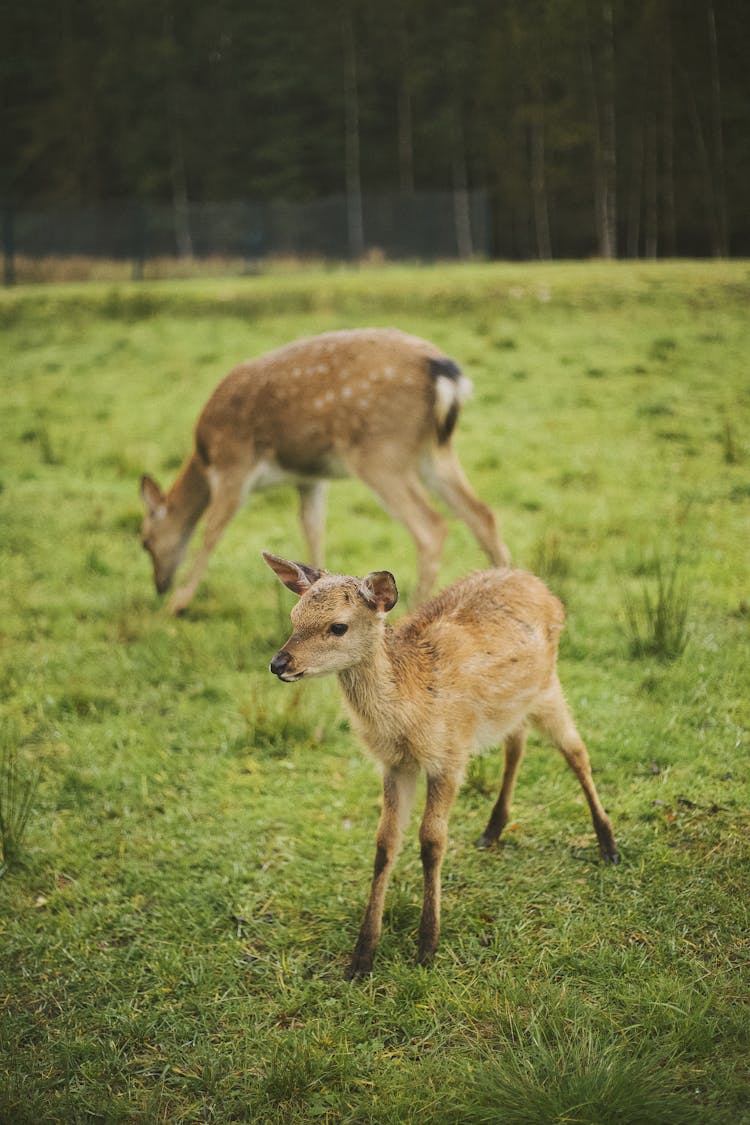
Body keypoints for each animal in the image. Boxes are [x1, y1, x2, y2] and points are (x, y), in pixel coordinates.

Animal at [139, 326, 510, 616]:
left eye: (144, 542)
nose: (159, 586)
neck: (204, 458)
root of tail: (446, 374)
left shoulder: (234, 463)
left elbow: (212, 530)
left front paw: (178, 603)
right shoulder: (310, 478)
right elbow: (312, 529)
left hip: (380, 451)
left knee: (431, 527)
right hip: (433, 451)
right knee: (482, 513)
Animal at [265, 551, 620, 976]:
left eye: (338, 626)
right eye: (294, 616)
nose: (279, 663)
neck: (411, 706)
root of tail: (539, 585)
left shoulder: (448, 755)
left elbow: (432, 841)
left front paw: (427, 946)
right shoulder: (395, 765)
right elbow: (385, 842)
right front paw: (362, 957)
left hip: (548, 686)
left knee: (577, 752)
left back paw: (609, 846)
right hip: (512, 705)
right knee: (516, 743)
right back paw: (492, 829)